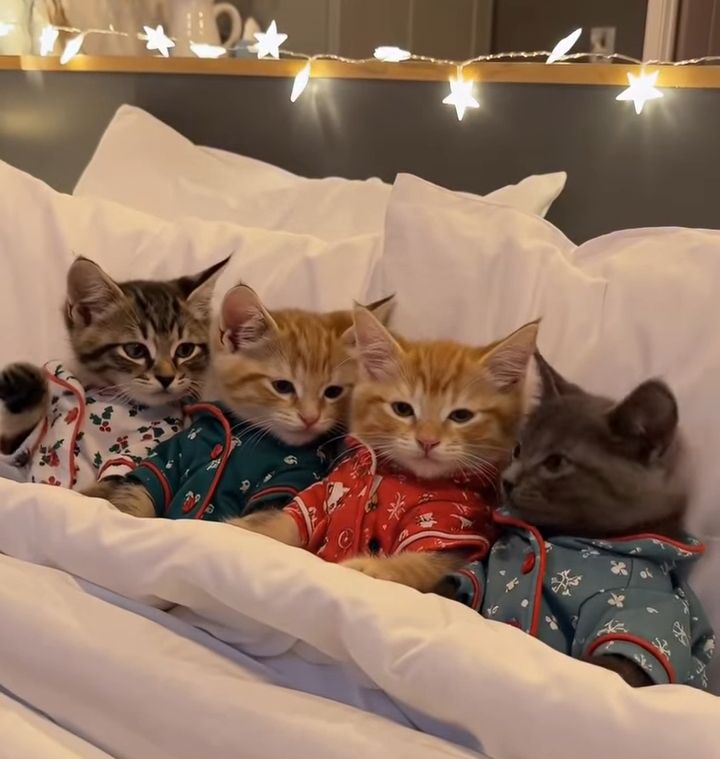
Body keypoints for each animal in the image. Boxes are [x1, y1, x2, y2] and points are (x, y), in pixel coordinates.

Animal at [0, 255, 226, 489]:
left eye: (185, 350)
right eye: (135, 350)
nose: (167, 378)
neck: (104, 393)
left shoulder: (141, 448)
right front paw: (23, 388)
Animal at [85, 284, 395, 519]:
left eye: (333, 392)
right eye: (282, 386)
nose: (310, 418)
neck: (244, 439)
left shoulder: (287, 482)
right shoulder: (171, 458)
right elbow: (137, 496)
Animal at [229, 305, 539, 593]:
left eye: (461, 416)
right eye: (402, 409)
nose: (427, 441)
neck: (396, 477)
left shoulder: (452, 534)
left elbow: (421, 564)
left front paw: (371, 567)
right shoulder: (324, 497)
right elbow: (290, 521)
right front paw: (246, 527)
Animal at [448, 352, 714, 688]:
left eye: (555, 462)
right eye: (518, 449)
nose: (507, 480)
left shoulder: (644, 603)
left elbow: (608, 667)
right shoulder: (480, 573)